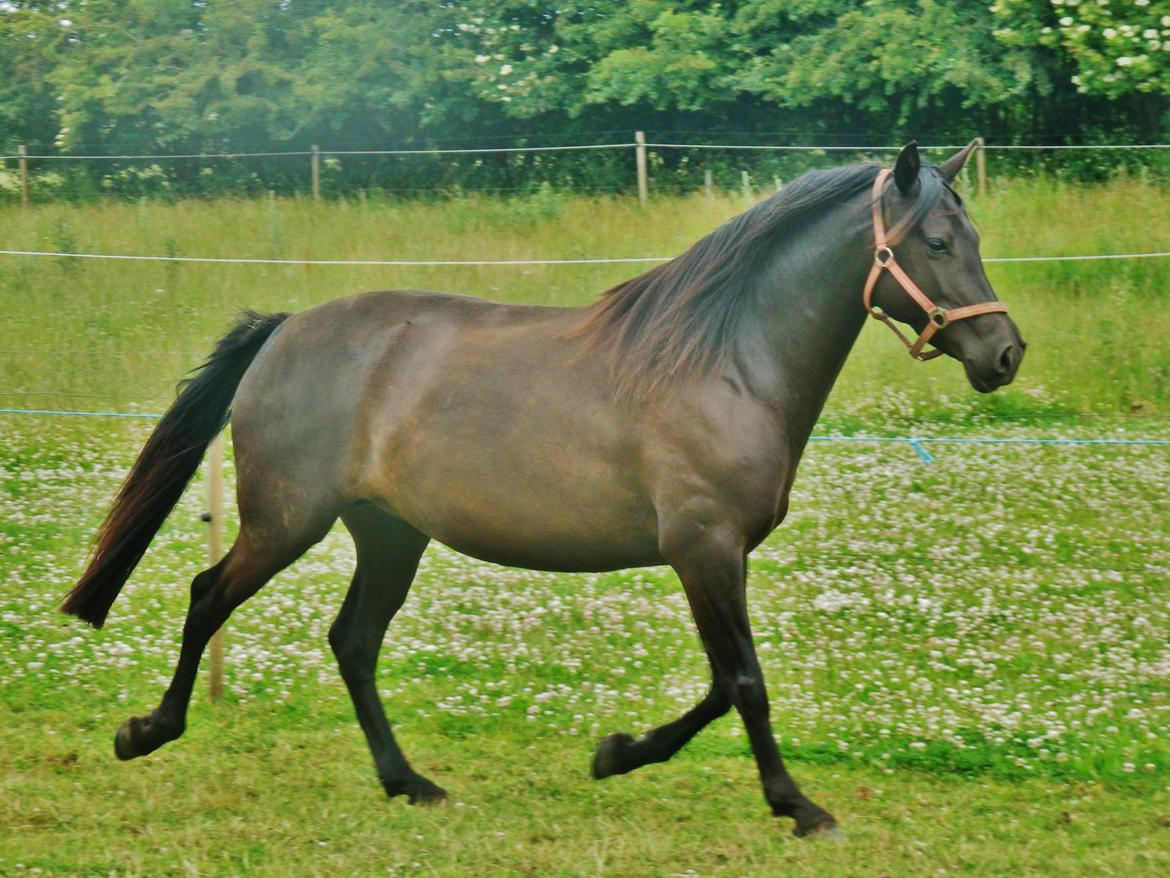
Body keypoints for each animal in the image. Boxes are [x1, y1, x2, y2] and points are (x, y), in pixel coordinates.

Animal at [61, 142, 1024, 838]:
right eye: (937, 243)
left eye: (977, 240)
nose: (1005, 353)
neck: (725, 362)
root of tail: (286, 329)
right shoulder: (704, 548)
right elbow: (745, 680)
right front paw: (796, 805)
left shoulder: (713, 555)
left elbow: (721, 683)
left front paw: (617, 752)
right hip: (286, 520)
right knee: (206, 597)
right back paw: (147, 731)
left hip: (388, 535)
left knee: (353, 643)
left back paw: (410, 782)